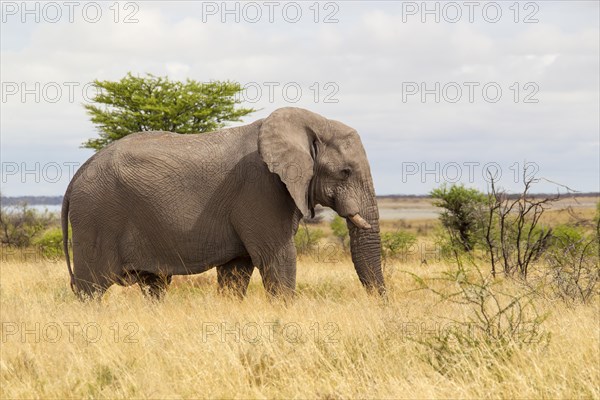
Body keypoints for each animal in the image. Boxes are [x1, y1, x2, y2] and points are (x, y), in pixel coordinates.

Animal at [62, 107, 384, 300]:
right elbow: (278, 259)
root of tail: (77, 174)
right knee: (91, 289)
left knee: (155, 285)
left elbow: (236, 271)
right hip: (95, 217)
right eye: (345, 172)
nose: (381, 305)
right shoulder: (260, 189)